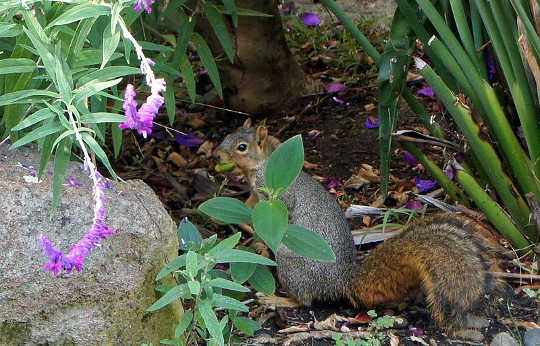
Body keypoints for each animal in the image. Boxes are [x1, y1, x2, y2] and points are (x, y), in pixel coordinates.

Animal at [213, 120, 500, 334]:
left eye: (241, 147)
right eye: (227, 135)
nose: (217, 154)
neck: (263, 165)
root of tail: (340, 280)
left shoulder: (278, 195)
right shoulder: (255, 194)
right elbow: (246, 207)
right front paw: (228, 217)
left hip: (290, 262)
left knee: (304, 300)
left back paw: (277, 298)